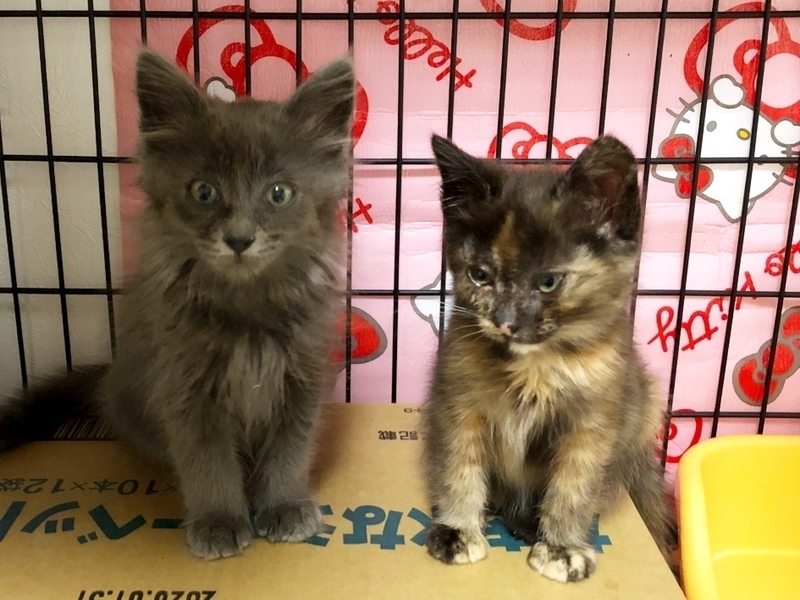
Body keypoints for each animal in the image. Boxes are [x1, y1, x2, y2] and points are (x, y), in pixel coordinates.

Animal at [0, 49, 355, 560]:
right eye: (203, 191)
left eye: (279, 193)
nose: (239, 238)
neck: (245, 311)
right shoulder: (184, 386)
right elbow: (207, 462)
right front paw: (219, 520)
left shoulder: (302, 376)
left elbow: (290, 452)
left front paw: (285, 506)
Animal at [422, 134, 675, 582]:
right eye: (479, 275)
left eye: (548, 282)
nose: (505, 322)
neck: (535, 364)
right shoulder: (457, 400)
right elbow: (458, 464)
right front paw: (457, 530)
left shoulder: (593, 423)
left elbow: (574, 485)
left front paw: (562, 548)